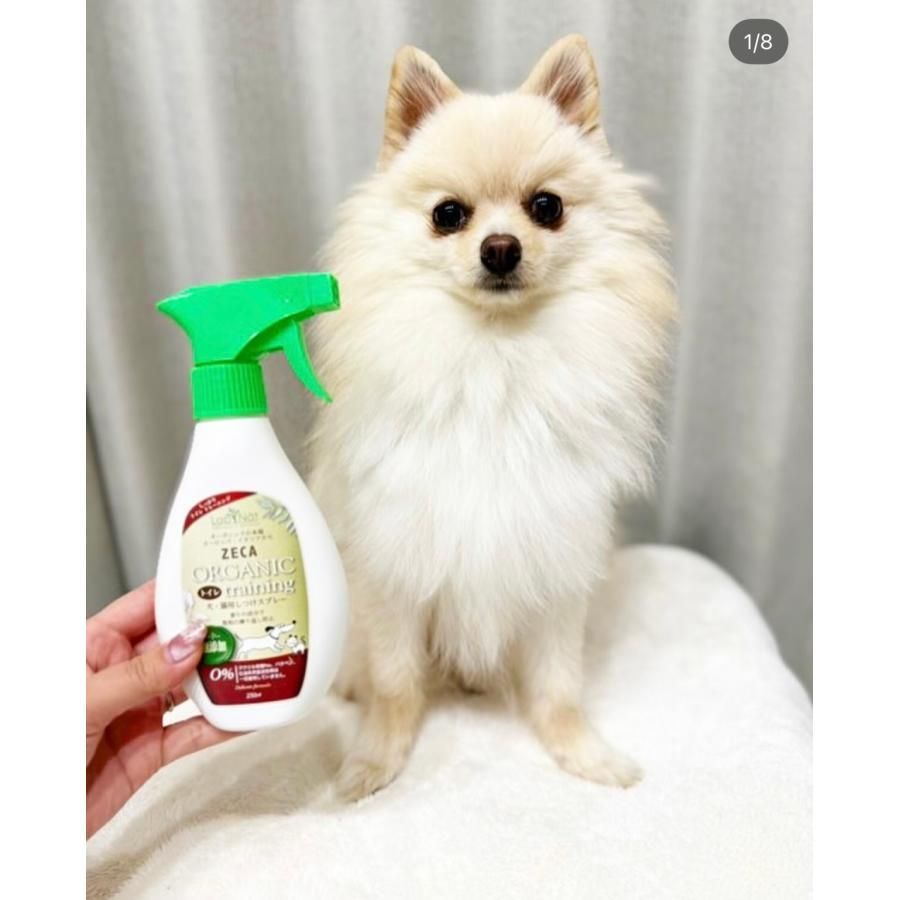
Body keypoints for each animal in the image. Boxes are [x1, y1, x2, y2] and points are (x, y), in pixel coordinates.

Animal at [306, 34, 677, 800]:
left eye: (547, 206)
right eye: (448, 215)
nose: (500, 248)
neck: (495, 361)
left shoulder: (554, 563)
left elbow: (559, 687)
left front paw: (583, 753)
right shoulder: (393, 567)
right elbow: (395, 683)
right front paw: (374, 761)